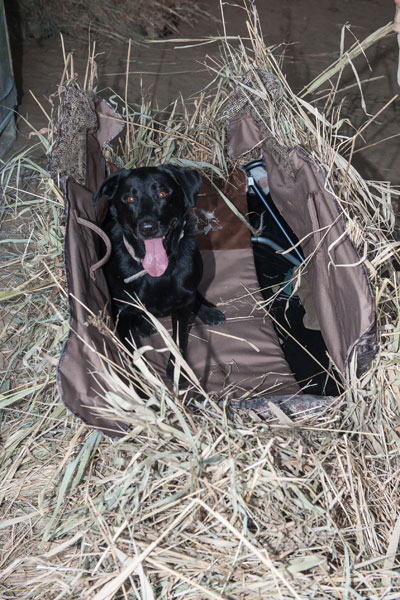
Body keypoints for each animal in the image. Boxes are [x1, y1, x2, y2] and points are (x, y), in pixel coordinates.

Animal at [94, 164, 225, 378]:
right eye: (129, 199)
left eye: (162, 194)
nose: (148, 227)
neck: (156, 274)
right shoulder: (121, 312)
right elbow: (130, 351)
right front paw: (138, 380)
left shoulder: (182, 305)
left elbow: (180, 339)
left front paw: (178, 371)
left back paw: (208, 311)